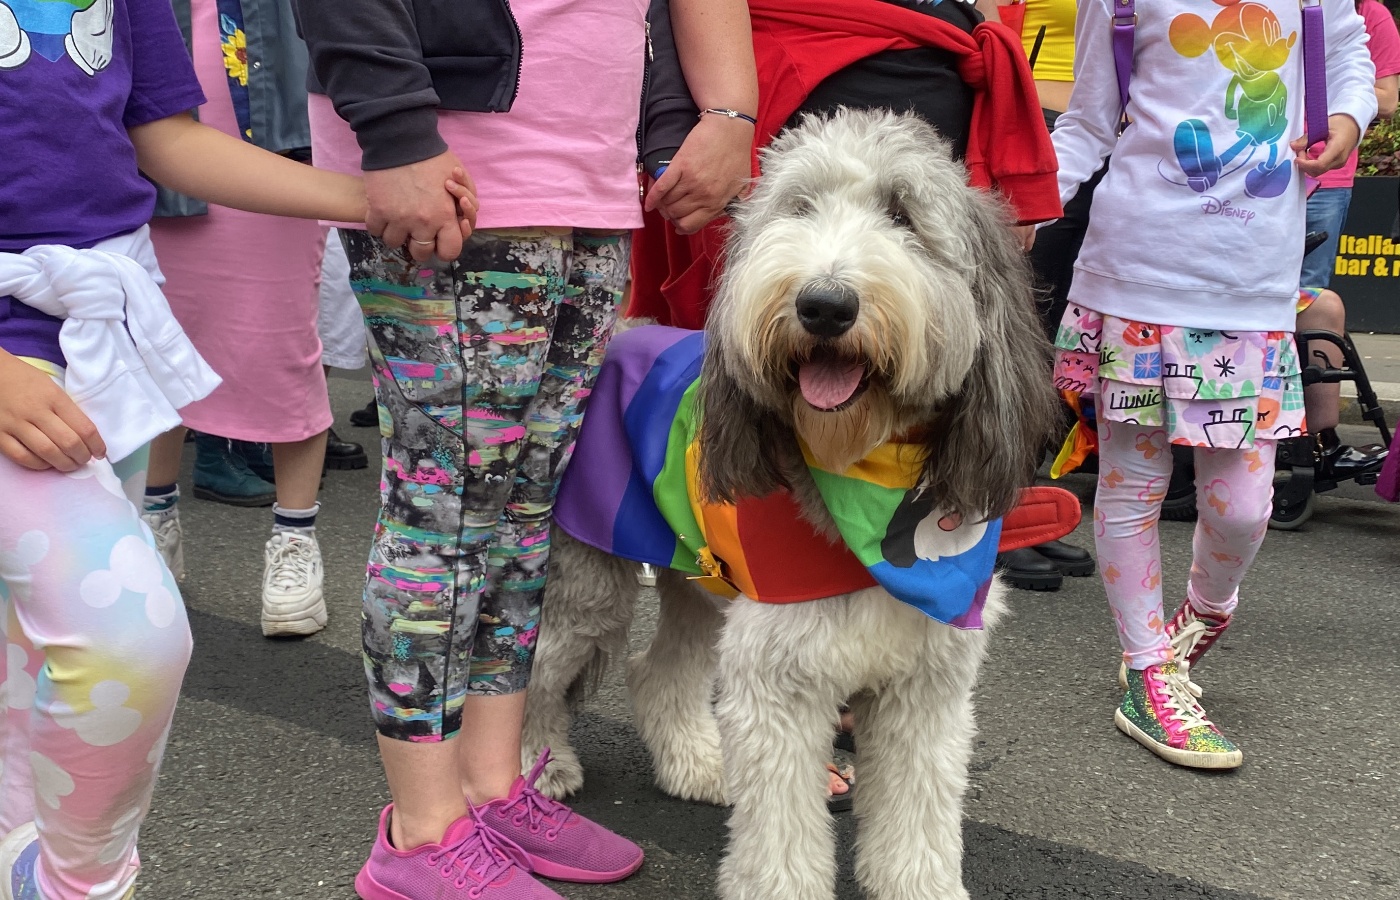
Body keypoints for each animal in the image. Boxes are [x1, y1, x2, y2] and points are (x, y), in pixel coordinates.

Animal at [526, 110, 1058, 900]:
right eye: (799, 208)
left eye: (903, 214)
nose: (824, 304)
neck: (863, 476)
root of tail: (615, 336)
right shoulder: (780, 675)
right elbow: (781, 824)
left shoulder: (927, 684)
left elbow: (918, 816)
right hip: (587, 578)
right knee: (526, 675)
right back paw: (539, 770)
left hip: (697, 578)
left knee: (658, 670)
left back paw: (697, 764)